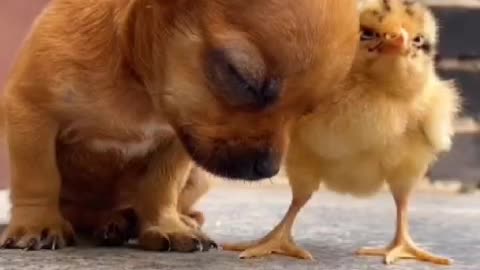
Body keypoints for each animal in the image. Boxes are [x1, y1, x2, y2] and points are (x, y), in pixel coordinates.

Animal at [0, 0, 358, 253]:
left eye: (306, 113)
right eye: (242, 79)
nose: (269, 169)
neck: (139, 88)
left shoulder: (177, 141)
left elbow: (160, 187)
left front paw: (166, 226)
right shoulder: (31, 112)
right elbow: (39, 178)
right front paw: (36, 225)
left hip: (200, 176)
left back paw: (174, 219)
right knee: (79, 210)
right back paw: (110, 221)